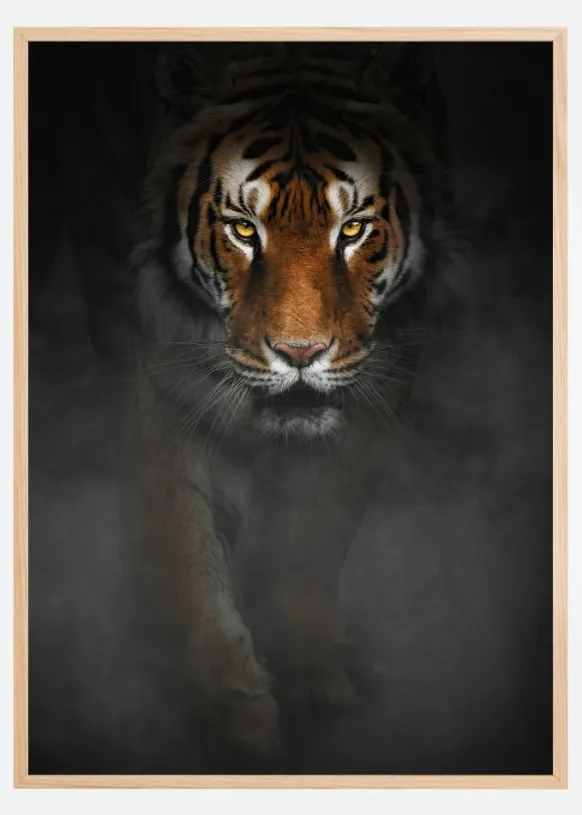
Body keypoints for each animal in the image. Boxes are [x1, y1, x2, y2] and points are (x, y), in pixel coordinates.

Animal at [128, 42, 453, 763]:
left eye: (353, 228)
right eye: (243, 230)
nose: (299, 354)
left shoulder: (375, 401)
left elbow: (313, 540)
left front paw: (311, 676)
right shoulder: (164, 390)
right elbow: (185, 550)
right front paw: (234, 715)